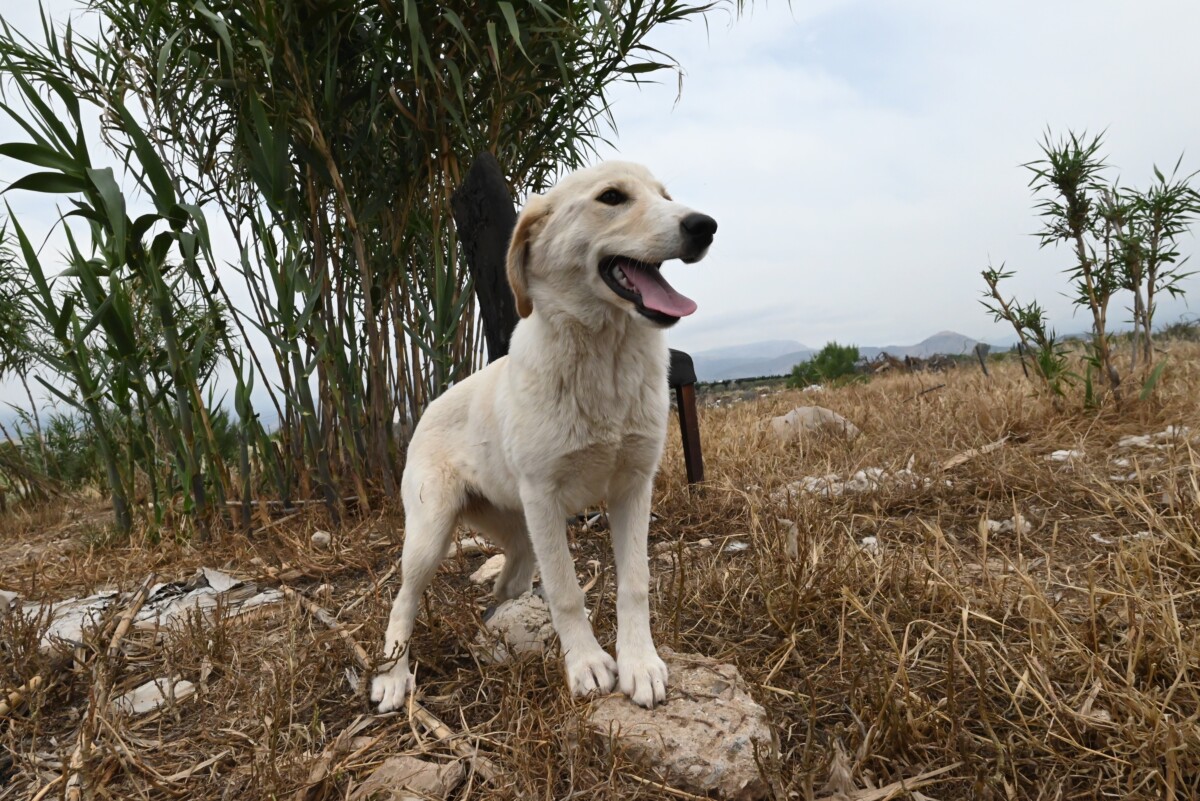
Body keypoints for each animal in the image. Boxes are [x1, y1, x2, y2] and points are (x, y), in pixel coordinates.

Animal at [369, 159, 715, 709]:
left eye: (665, 196)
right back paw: (392, 675)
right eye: (612, 197)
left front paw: (640, 663)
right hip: (432, 530)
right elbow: (566, 591)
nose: (705, 226)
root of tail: (426, 409)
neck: (604, 357)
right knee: (402, 600)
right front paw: (588, 663)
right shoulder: (545, 497)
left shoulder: (634, 487)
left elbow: (634, 583)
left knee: (506, 583)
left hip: (520, 530)